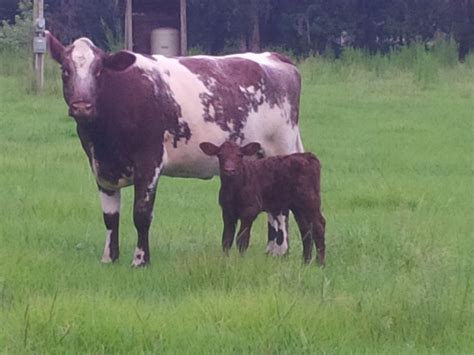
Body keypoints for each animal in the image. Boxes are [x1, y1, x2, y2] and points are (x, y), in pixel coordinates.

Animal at [45, 32, 304, 268]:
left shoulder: (149, 162)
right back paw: (271, 250)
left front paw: (140, 260)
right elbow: (110, 217)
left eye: (99, 71)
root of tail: (273, 57)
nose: (81, 106)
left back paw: (281, 251)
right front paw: (109, 258)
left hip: (280, 148)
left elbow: (141, 214)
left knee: (282, 207)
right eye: (65, 71)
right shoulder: (101, 167)